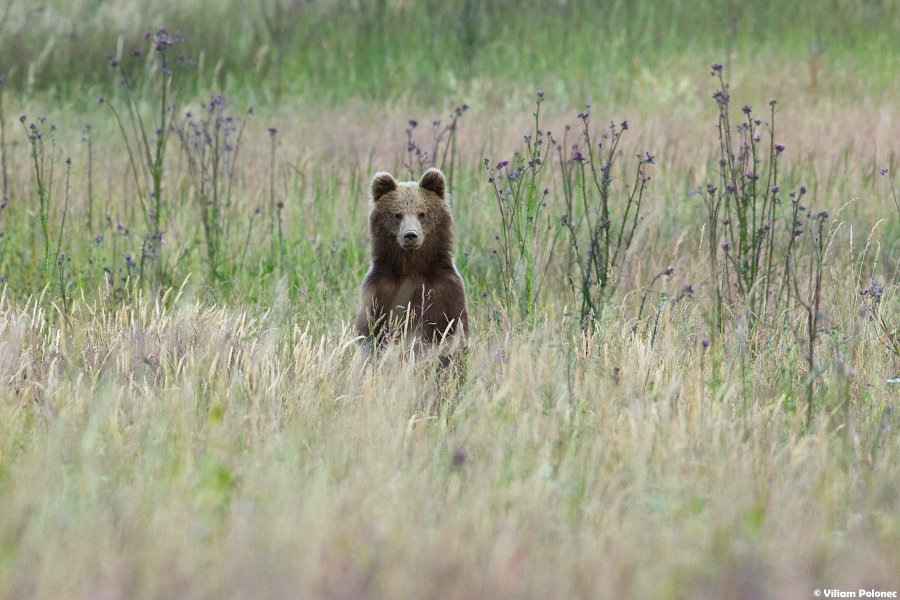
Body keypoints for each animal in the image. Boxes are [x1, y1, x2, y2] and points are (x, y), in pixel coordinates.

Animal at [356, 165, 472, 352]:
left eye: (422, 213)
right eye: (397, 214)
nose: (410, 235)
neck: (412, 266)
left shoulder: (445, 290)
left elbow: (451, 328)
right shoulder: (380, 290)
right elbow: (373, 331)